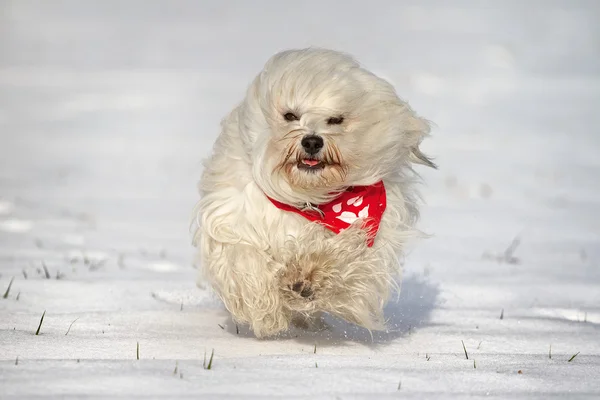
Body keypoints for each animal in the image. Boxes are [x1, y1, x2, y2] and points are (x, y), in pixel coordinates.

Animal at [192, 48, 436, 340]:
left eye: (336, 119)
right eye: (290, 115)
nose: (311, 140)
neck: (311, 199)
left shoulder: (372, 241)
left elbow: (347, 263)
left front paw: (311, 276)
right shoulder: (235, 220)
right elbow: (245, 260)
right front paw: (268, 312)